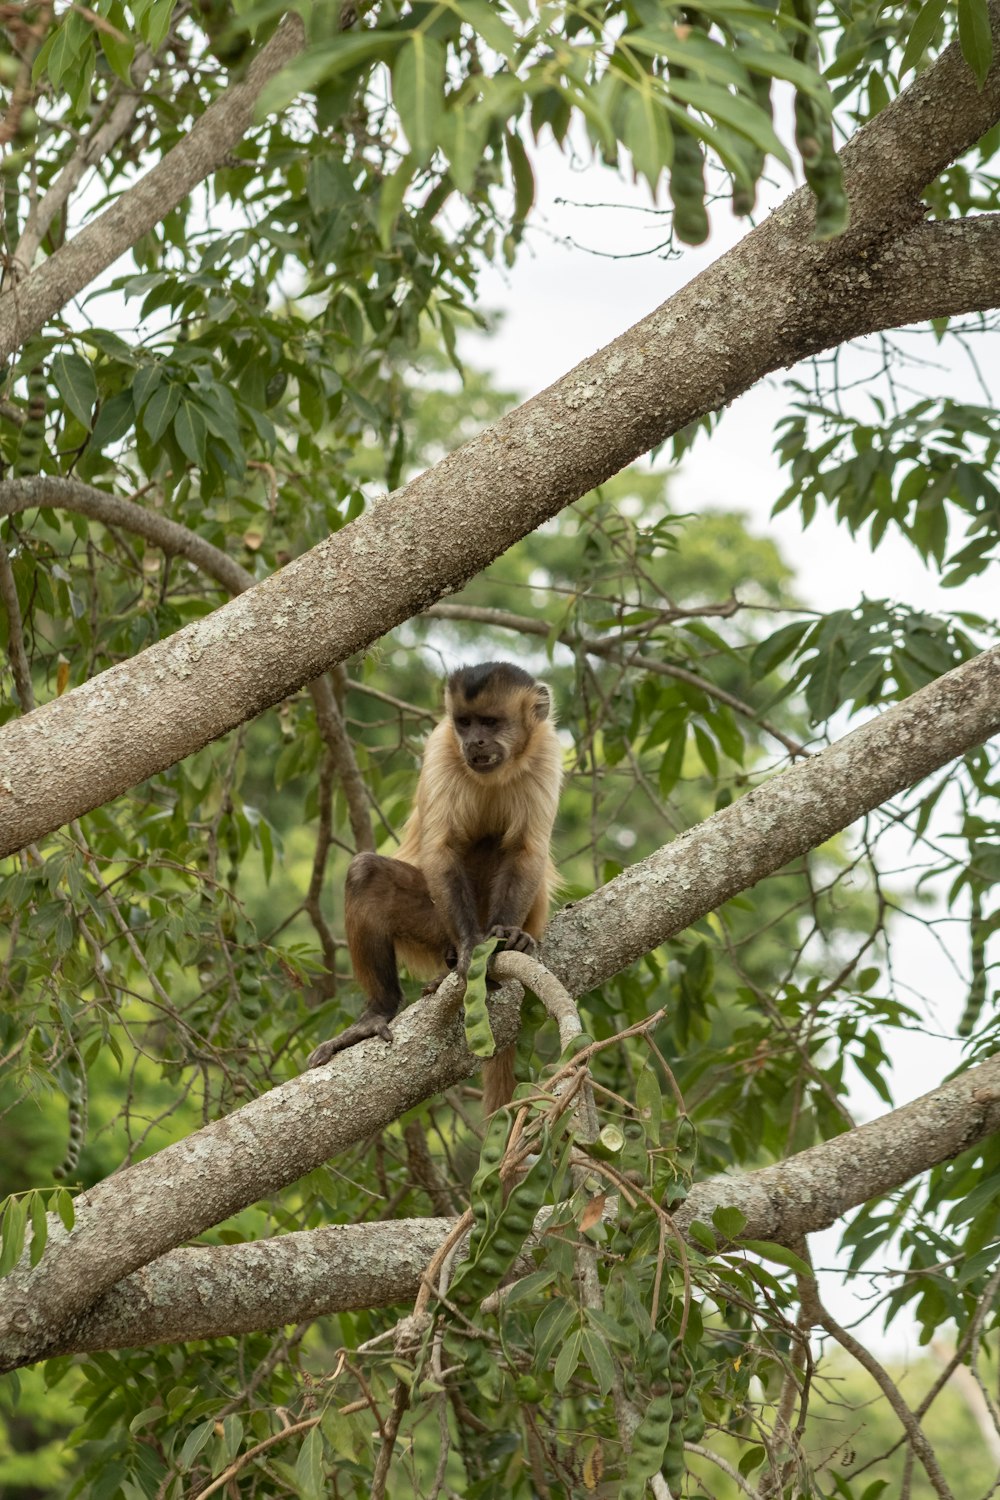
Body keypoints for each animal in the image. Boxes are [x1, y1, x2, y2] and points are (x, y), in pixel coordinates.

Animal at [308, 666, 563, 1116]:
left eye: (490, 723)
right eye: (465, 723)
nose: (474, 741)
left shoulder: (548, 750)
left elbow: (526, 850)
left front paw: (507, 938)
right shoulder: (442, 747)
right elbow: (441, 849)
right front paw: (470, 947)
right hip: (432, 924)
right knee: (366, 873)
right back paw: (382, 1008)